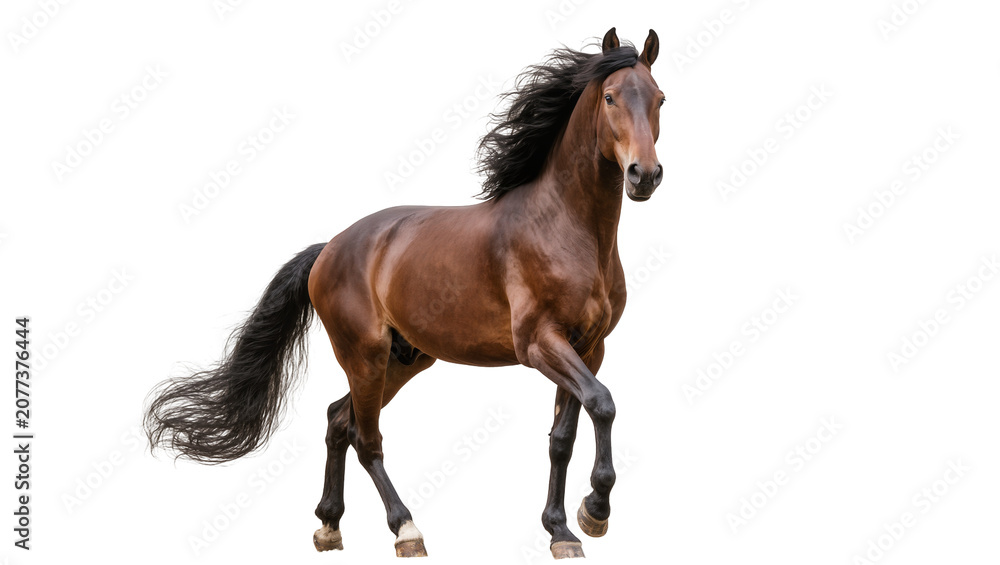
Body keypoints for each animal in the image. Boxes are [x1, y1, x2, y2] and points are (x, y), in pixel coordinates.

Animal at [144, 27, 664, 559]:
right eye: (610, 97)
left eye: (660, 98)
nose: (644, 175)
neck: (566, 229)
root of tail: (329, 249)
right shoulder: (540, 343)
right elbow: (603, 402)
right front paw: (595, 511)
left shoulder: (589, 347)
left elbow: (564, 436)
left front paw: (562, 530)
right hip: (366, 356)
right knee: (365, 437)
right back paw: (406, 529)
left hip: (404, 358)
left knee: (338, 420)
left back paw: (329, 525)